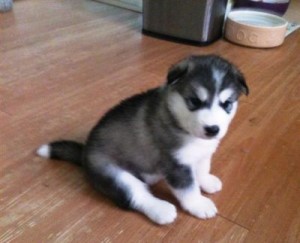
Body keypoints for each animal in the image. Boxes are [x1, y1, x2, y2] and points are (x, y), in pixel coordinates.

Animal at [37, 54, 248, 224]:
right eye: (194, 101)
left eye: (227, 104)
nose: (212, 129)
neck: (178, 121)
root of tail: (84, 152)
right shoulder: (176, 165)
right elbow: (188, 188)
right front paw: (199, 205)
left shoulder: (202, 154)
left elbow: (203, 168)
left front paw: (206, 181)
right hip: (115, 174)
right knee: (137, 196)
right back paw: (161, 210)